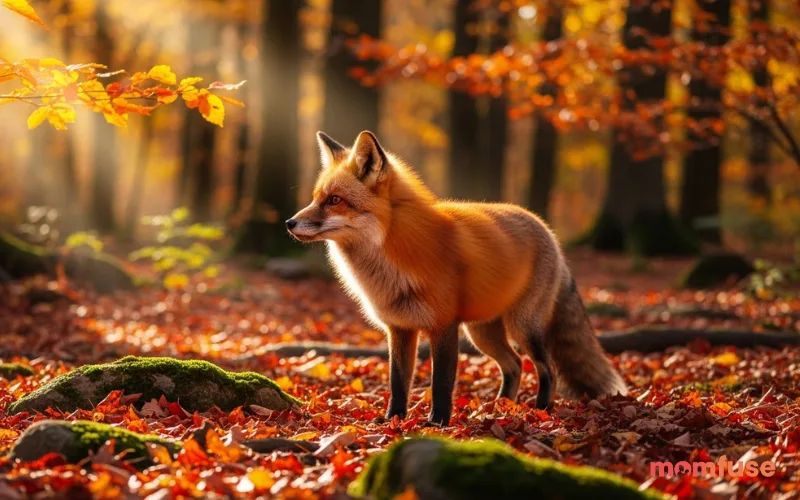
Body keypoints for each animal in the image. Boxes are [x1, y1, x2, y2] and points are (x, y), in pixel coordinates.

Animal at [286, 130, 627, 426]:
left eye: (334, 200)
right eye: (316, 198)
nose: (290, 222)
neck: (393, 255)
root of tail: (547, 230)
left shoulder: (443, 325)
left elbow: (441, 382)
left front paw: (438, 422)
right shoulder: (400, 328)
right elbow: (398, 381)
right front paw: (394, 419)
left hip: (522, 328)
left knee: (548, 368)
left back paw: (541, 409)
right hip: (483, 333)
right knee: (514, 365)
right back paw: (501, 406)